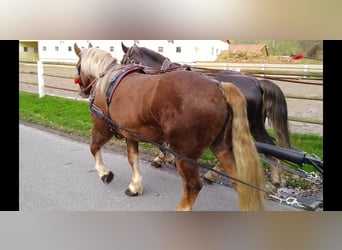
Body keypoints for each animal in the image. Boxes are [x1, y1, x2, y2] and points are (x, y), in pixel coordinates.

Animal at [73, 43, 266, 211]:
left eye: (77, 65)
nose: (82, 91)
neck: (107, 80)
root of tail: (219, 87)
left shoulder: (102, 127)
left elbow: (94, 147)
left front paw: (105, 173)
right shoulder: (131, 134)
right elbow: (133, 159)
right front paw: (135, 186)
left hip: (185, 154)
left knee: (193, 186)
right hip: (222, 146)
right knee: (239, 181)